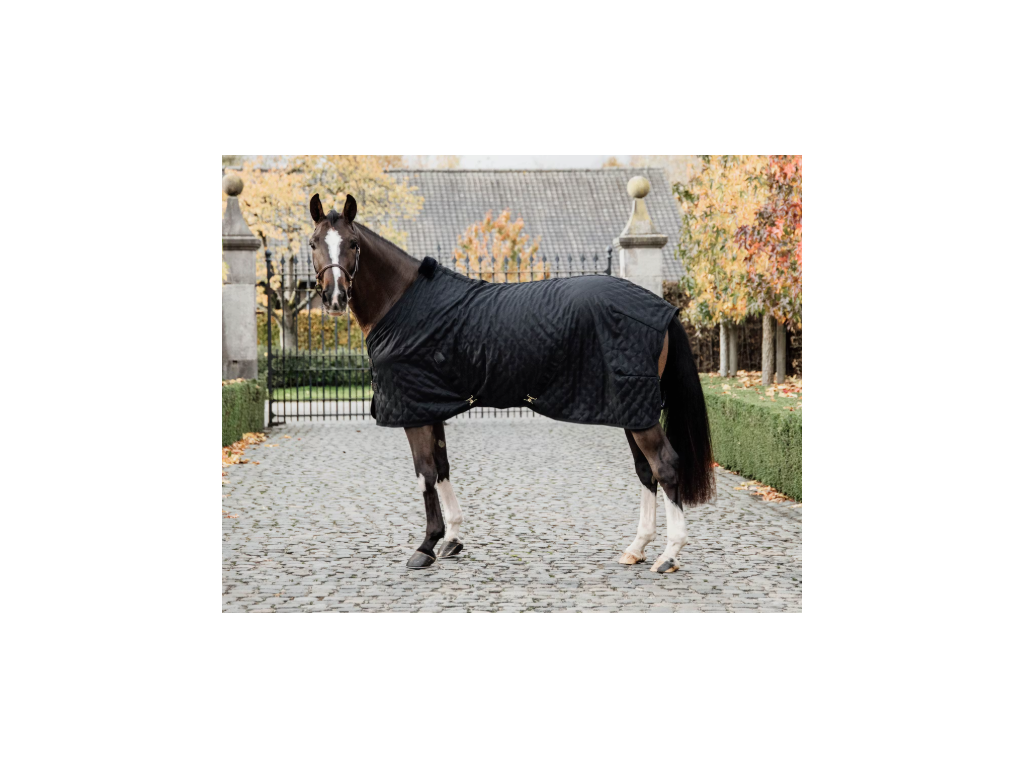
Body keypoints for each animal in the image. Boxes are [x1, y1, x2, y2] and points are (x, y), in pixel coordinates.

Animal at [308, 193, 715, 573]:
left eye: (353, 243)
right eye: (313, 243)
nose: (334, 296)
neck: (403, 302)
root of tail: (663, 309)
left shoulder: (414, 410)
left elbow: (425, 474)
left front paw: (426, 546)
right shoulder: (430, 405)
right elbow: (442, 467)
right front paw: (453, 539)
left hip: (638, 410)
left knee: (665, 466)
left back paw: (669, 554)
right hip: (631, 408)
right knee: (646, 471)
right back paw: (637, 548)